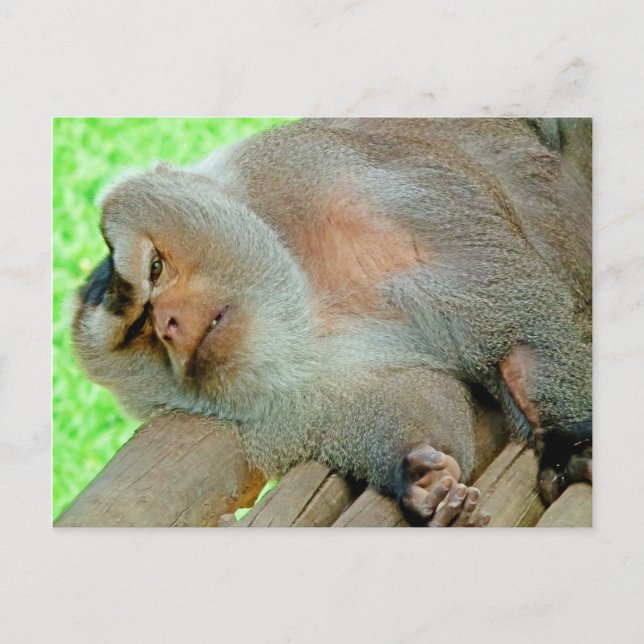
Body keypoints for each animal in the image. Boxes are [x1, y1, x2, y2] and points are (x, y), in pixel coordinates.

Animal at [72, 118, 592, 526]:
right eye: (140, 330)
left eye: (156, 268)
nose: (169, 325)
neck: (307, 288)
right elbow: (408, 393)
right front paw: (419, 478)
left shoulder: (331, 179)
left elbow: (510, 311)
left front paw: (563, 440)